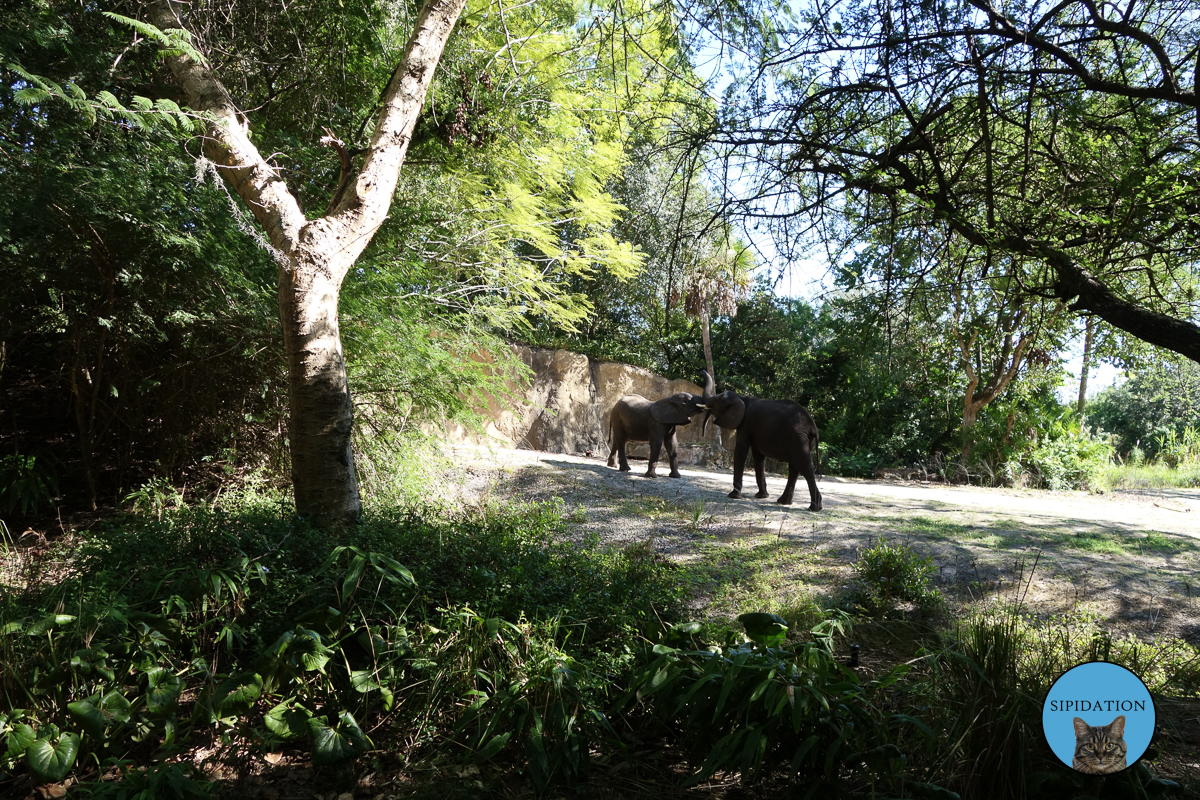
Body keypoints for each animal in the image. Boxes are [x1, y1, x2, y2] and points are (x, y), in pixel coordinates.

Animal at [700, 371, 820, 510]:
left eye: (715, 402)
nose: (701, 371)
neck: (740, 398)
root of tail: (813, 427)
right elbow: (758, 457)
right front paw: (761, 496)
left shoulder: (745, 423)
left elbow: (741, 451)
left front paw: (733, 496)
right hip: (801, 439)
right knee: (795, 467)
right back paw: (783, 502)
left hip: (798, 438)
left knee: (804, 466)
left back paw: (814, 508)